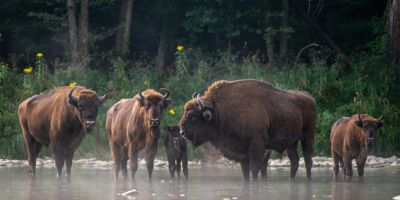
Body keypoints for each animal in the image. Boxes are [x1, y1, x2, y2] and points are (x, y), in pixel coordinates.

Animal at [179, 79, 316, 181]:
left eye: (192, 115)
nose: (182, 132)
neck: (221, 110)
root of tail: (309, 97)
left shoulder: (256, 144)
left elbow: (254, 168)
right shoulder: (242, 152)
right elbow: (245, 171)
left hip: (308, 136)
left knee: (308, 160)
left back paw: (309, 180)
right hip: (291, 143)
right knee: (295, 161)